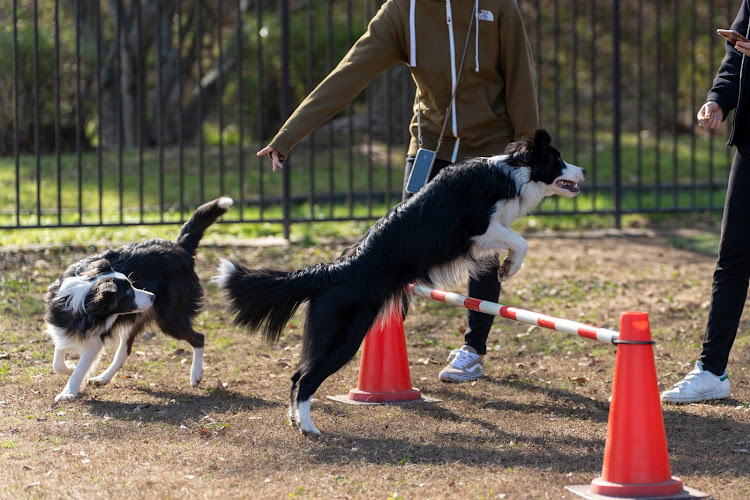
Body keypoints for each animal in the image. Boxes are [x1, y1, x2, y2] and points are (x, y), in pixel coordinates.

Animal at [45, 196, 232, 402]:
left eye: (132, 285)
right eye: (128, 293)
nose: (153, 296)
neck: (82, 295)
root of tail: (179, 247)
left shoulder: (95, 340)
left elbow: (80, 367)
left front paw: (69, 390)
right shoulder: (60, 326)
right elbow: (57, 361)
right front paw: (70, 370)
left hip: (169, 319)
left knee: (199, 338)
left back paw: (196, 374)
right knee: (124, 351)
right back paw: (104, 378)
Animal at [214, 130, 584, 438]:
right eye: (558, 159)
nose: (583, 172)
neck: (510, 170)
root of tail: (335, 269)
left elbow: (513, 243)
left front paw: (506, 267)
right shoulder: (480, 227)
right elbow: (520, 241)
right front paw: (509, 268)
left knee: (296, 375)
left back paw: (295, 421)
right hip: (345, 335)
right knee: (306, 378)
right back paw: (309, 428)